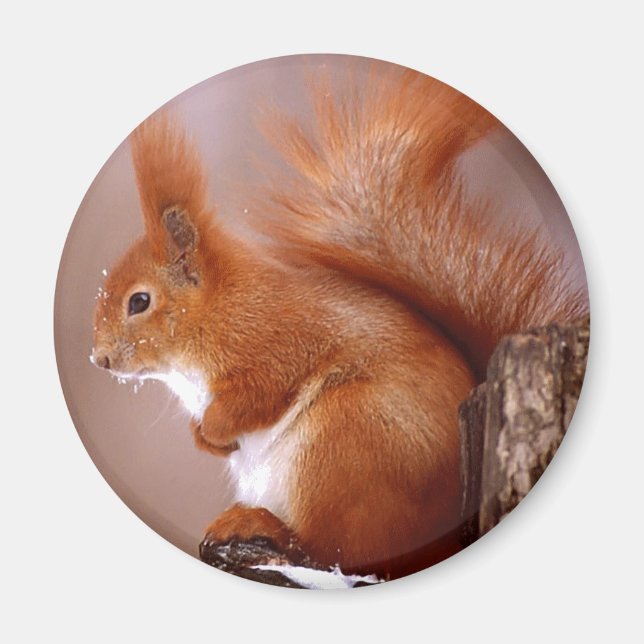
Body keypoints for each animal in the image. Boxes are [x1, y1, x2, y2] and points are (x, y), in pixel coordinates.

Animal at [91, 65, 588, 580]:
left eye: (139, 301)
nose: (99, 358)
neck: (219, 310)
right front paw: (205, 440)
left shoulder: (280, 341)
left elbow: (259, 393)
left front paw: (214, 428)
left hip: (346, 438)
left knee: (338, 548)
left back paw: (262, 526)